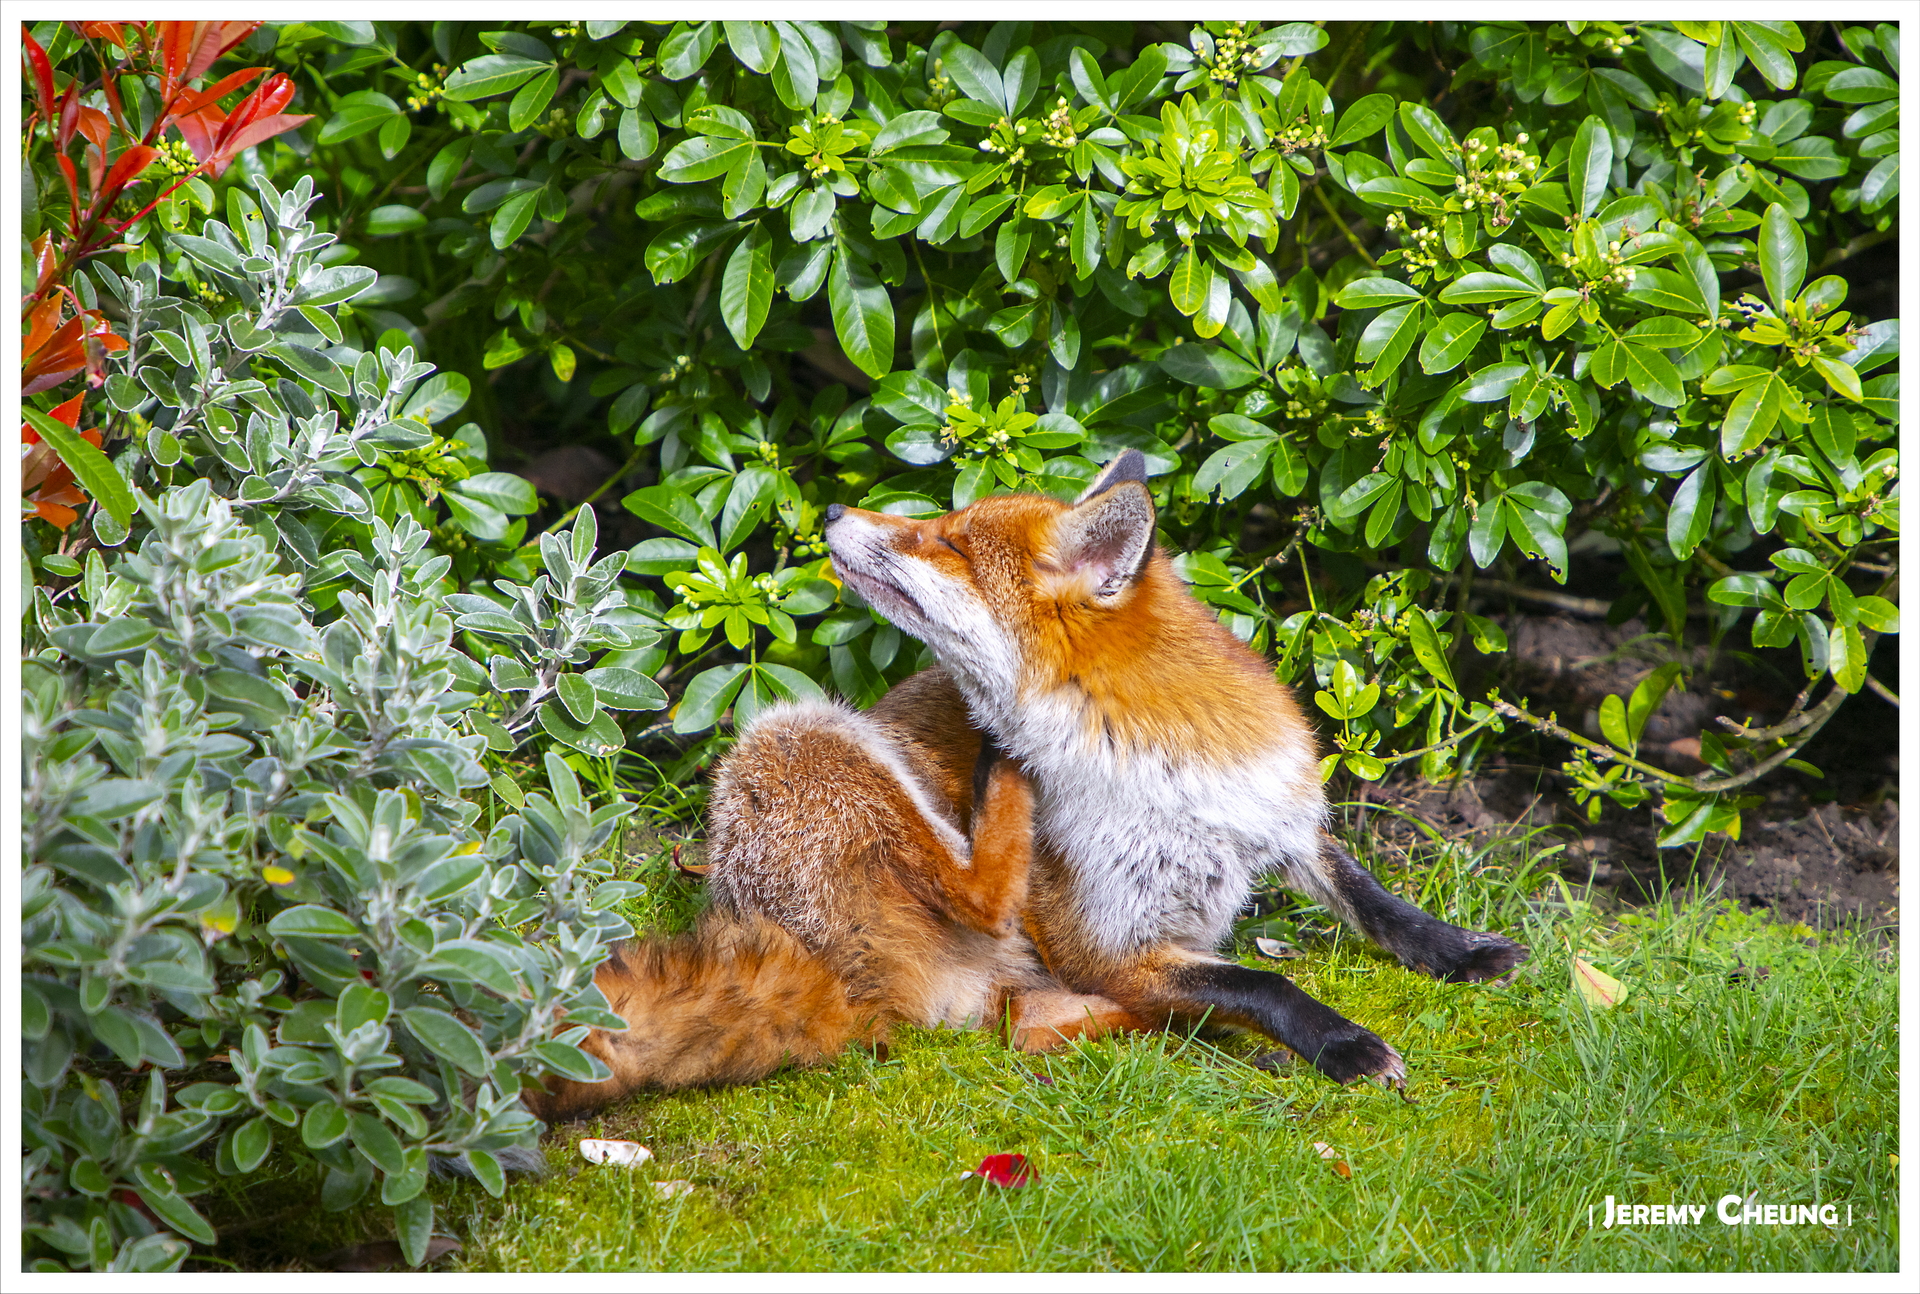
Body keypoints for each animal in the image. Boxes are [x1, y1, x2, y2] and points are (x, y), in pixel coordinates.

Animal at [522, 449, 1527, 1120]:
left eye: (947, 543)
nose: (835, 509)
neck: (1160, 767)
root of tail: (809, 958)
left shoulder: (1280, 816)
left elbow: (1375, 901)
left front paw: (1463, 953)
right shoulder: (1110, 940)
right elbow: (1260, 982)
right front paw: (1342, 1043)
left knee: (1025, 1025)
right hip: (798, 731)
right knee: (985, 899)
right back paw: (1004, 765)